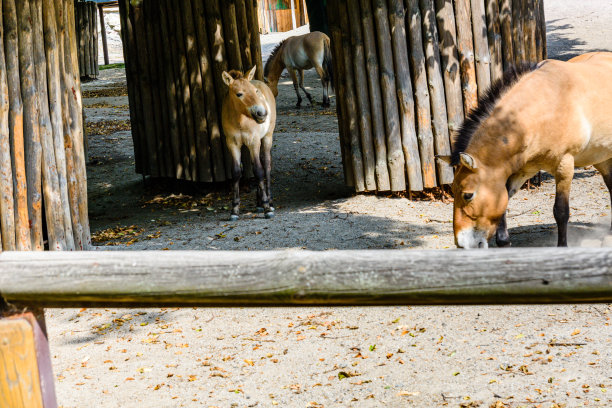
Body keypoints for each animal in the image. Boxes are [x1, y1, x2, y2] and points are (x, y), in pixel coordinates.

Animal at [221, 65, 276, 222]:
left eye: (255, 91)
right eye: (239, 94)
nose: (262, 114)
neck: (240, 119)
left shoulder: (254, 142)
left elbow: (259, 171)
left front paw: (267, 208)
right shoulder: (232, 144)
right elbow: (236, 172)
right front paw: (234, 210)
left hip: (267, 138)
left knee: (266, 166)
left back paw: (269, 202)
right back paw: (258, 203)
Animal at [440, 51, 612, 249]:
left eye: (468, 195)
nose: (462, 244)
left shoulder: (564, 167)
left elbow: (561, 211)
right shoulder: (523, 170)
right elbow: (504, 199)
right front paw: (503, 241)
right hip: (602, 159)